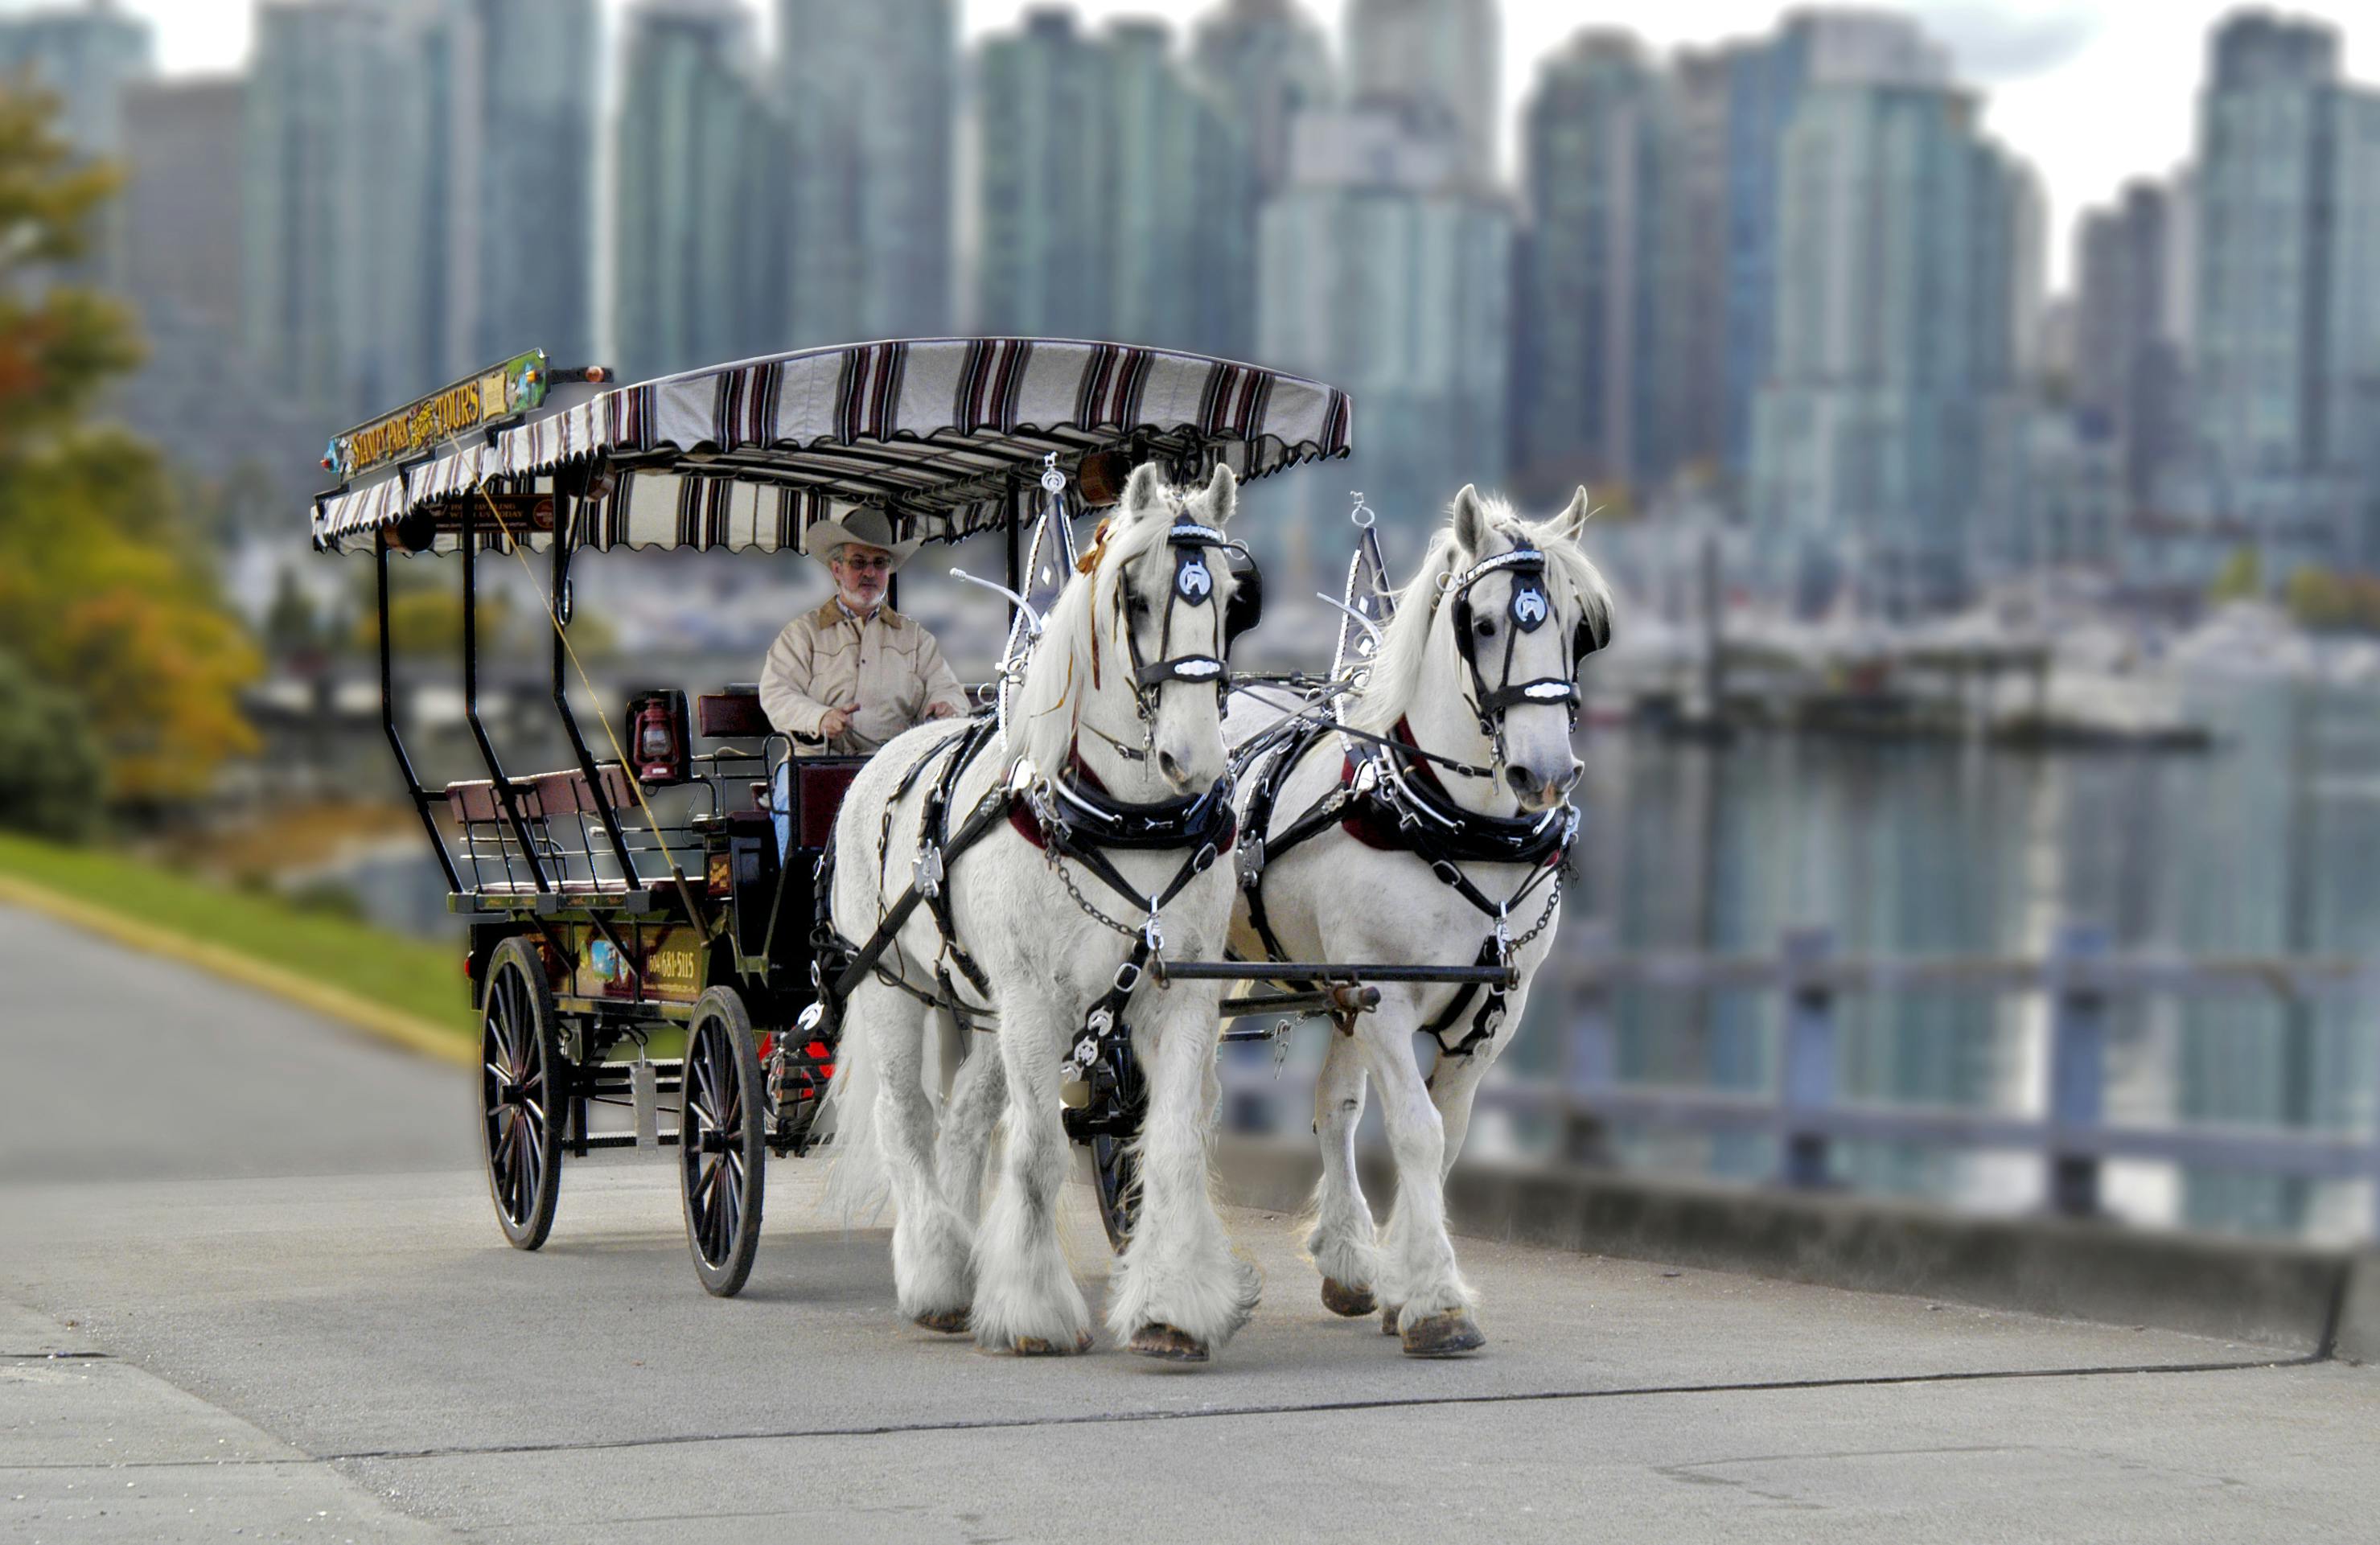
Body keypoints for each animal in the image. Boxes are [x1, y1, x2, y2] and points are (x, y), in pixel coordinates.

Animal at [823, 462, 1256, 1362]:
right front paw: (1029, 1307)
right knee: (906, 1118)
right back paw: (937, 1274)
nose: (1194, 758)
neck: (1123, 819)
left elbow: (1168, 1145)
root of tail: (881, 756)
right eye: (1135, 598)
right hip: (891, 984)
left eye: (1233, 598)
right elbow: (1034, 1154)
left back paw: (960, 1258)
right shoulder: (1033, 997)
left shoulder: (1178, 994)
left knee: (962, 1122)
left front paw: (1170, 1305)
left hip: (980, 1003)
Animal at [1227, 480, 1618, 1352]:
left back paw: (1345, 1259)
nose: (1545, 773)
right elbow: (1415, 1129)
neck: (1451, 823)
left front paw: (1407, 1283)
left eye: (1579, 630)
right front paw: (1436, 1299)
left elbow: (1444, 1138)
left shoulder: (1492, 1012)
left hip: (1334, 981)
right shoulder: (1387, 997)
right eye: (1484, 623)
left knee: (1332, 1108)